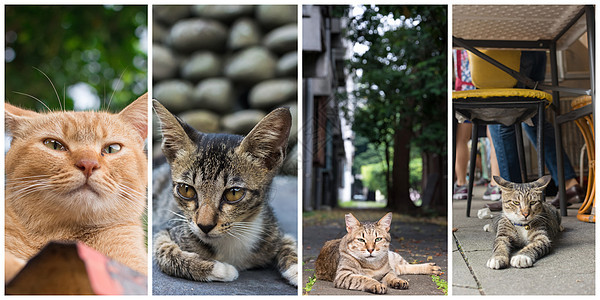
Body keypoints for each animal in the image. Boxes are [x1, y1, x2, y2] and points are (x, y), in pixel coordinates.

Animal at [152, 100, 298, 286]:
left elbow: (289, 242)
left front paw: (296, 269)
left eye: (233, 193)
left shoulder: (274, 229)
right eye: (186, 190)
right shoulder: (165, 229)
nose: (204, 226)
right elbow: (165, 252)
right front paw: (220, 269)